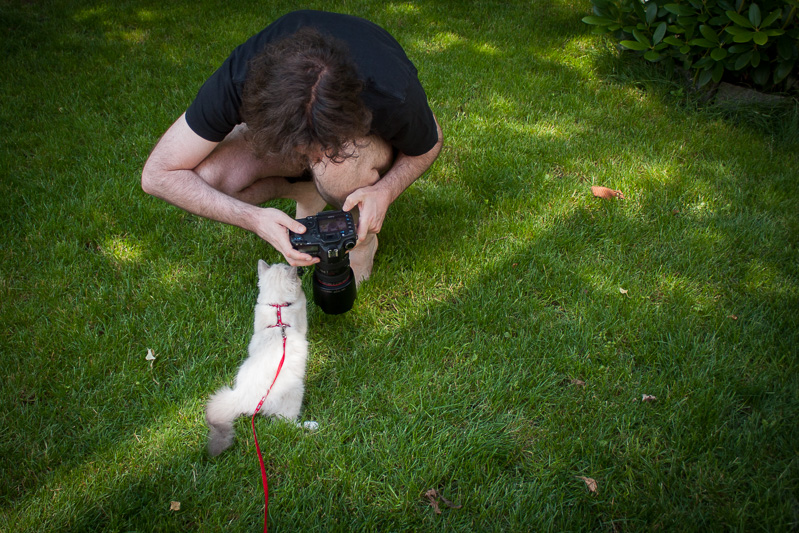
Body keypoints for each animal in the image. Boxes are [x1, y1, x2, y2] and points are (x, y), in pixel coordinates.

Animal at [205, 260, 308, 456]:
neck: (278, 308)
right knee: (286, 424)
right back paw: (311, 426)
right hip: (297, 391)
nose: (297, 268)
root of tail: (240, 398)